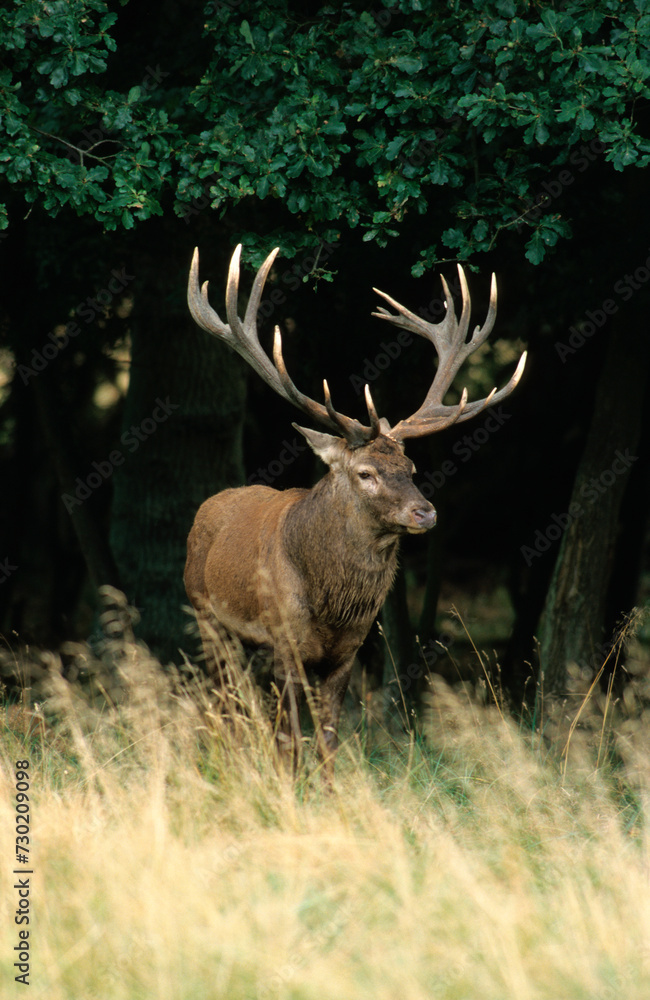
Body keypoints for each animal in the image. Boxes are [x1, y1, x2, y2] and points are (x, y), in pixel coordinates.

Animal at [184, 244, 526, 770]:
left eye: (410, 466)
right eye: (365, 473)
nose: (425, 512)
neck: (332, 605)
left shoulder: (349, 651)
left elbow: (327, 739)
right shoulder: (286, 642)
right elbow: (289, 741)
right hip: (204, 613)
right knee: (223, 704)